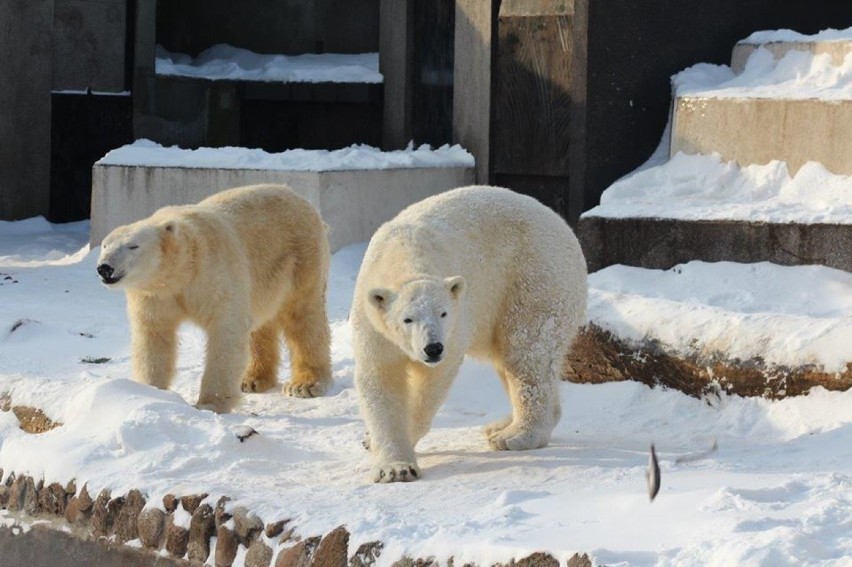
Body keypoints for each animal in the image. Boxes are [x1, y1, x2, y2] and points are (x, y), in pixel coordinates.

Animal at [96, 185, 330, 412]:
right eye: (105, 246)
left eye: (132, 246)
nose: (104, 268)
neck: (181, 271)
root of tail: (301, 198)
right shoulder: (154, 295)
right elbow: (153, 337)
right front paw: (149, 392)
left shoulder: (212, 273)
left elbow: (225, 331)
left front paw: (210, 403)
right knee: (260, 323)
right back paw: (252, 379)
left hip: (299, 255)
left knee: (302, 315)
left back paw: (304, 384)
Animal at [352, 186, 584, 484]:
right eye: (407, 319)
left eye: (443, 313)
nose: (433, 348)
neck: (404, 255)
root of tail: (566, 229)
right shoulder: (373, 324)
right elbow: (380, 378)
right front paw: (392, 466)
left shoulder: (455, 326)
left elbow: (431, 383)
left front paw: (398, 454)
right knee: (510, 361)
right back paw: (498, 427)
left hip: (533, 280)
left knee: (526, 354)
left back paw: (514, 436)